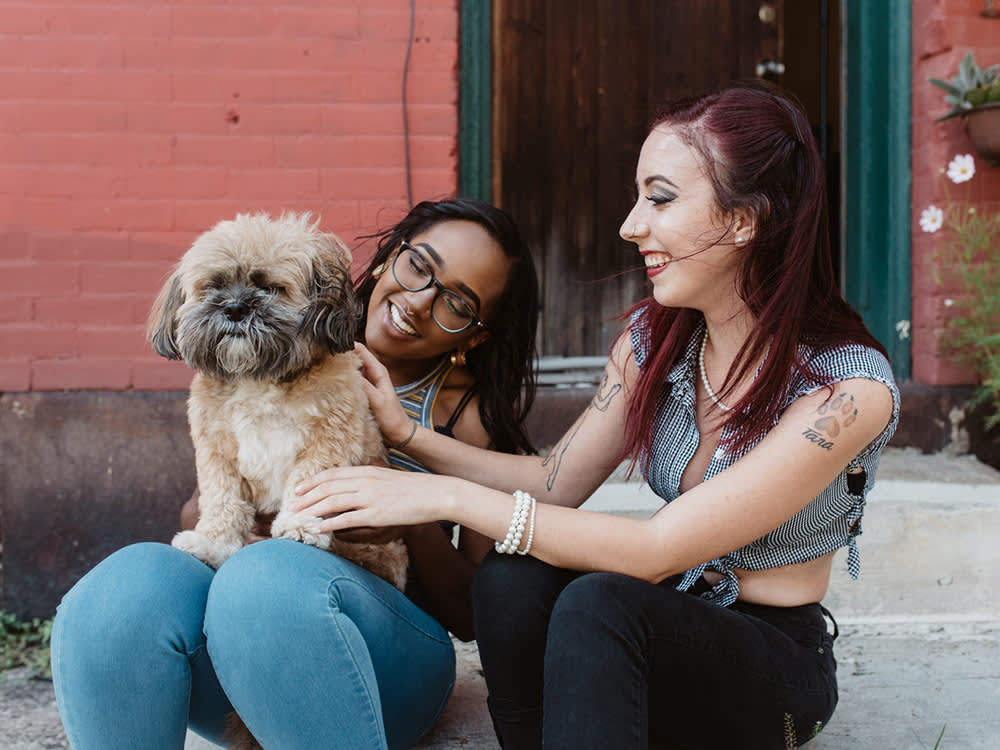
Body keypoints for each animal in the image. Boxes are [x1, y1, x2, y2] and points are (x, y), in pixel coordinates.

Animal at [146, 213, 410, 592]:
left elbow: (306, 486)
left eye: (270, 288)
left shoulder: (327, 441)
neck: (258, 378)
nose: (235, 308)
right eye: (214, 286)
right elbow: (222, 499)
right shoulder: (216, 455)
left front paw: (299, 527)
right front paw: (211, 543)